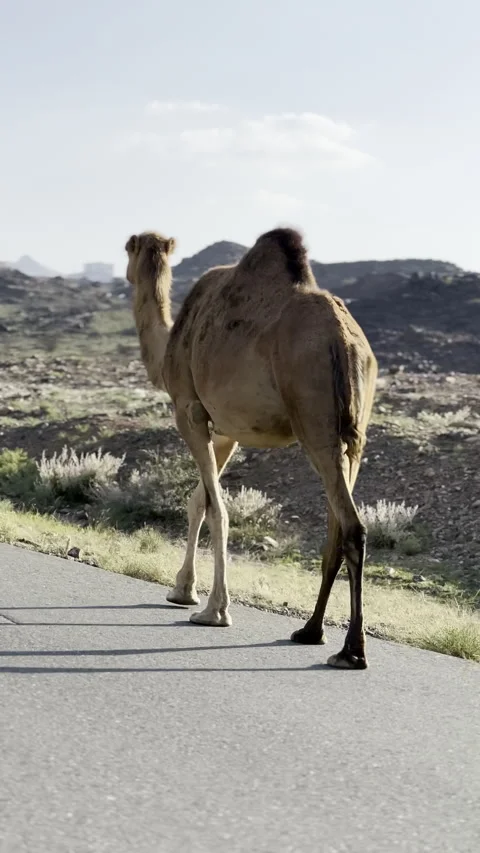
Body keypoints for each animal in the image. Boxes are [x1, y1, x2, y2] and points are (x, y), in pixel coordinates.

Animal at [125, 227, 378, 669]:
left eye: (128, 250)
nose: (124, 273)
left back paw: (351, 651)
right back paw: (310, 632)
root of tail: (345, 343)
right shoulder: (227, 430)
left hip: (315, 421)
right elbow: (198, 501)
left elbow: (215, 507)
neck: (171, 340)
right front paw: (182, 590)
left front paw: (213, 610)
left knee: (352, 526)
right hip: (354, 436)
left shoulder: (189, 410)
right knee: (336, 527)